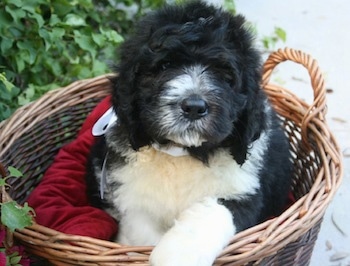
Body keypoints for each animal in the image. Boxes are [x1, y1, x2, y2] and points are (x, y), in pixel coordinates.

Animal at [86, 1, 292, 264]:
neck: (182, 154)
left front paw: (176, 254)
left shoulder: (245, 189)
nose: (194, 107)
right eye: (165, 65)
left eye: (225, 75)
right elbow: (141, 233)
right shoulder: (132, 199)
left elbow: (216, 211)